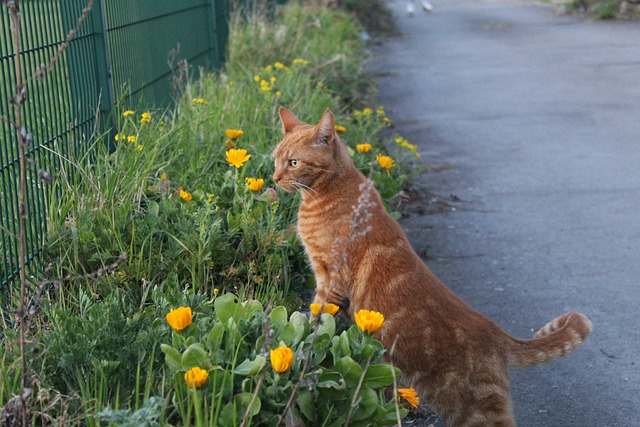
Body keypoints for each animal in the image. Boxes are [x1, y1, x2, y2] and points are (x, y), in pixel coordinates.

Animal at [272, 108, 592, 427]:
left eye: (293, 163)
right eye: (276, 158)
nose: (274, 178)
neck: (328, 191)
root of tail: (494, 331)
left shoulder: (331, 279)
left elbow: (316, 319)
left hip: (476, 412)